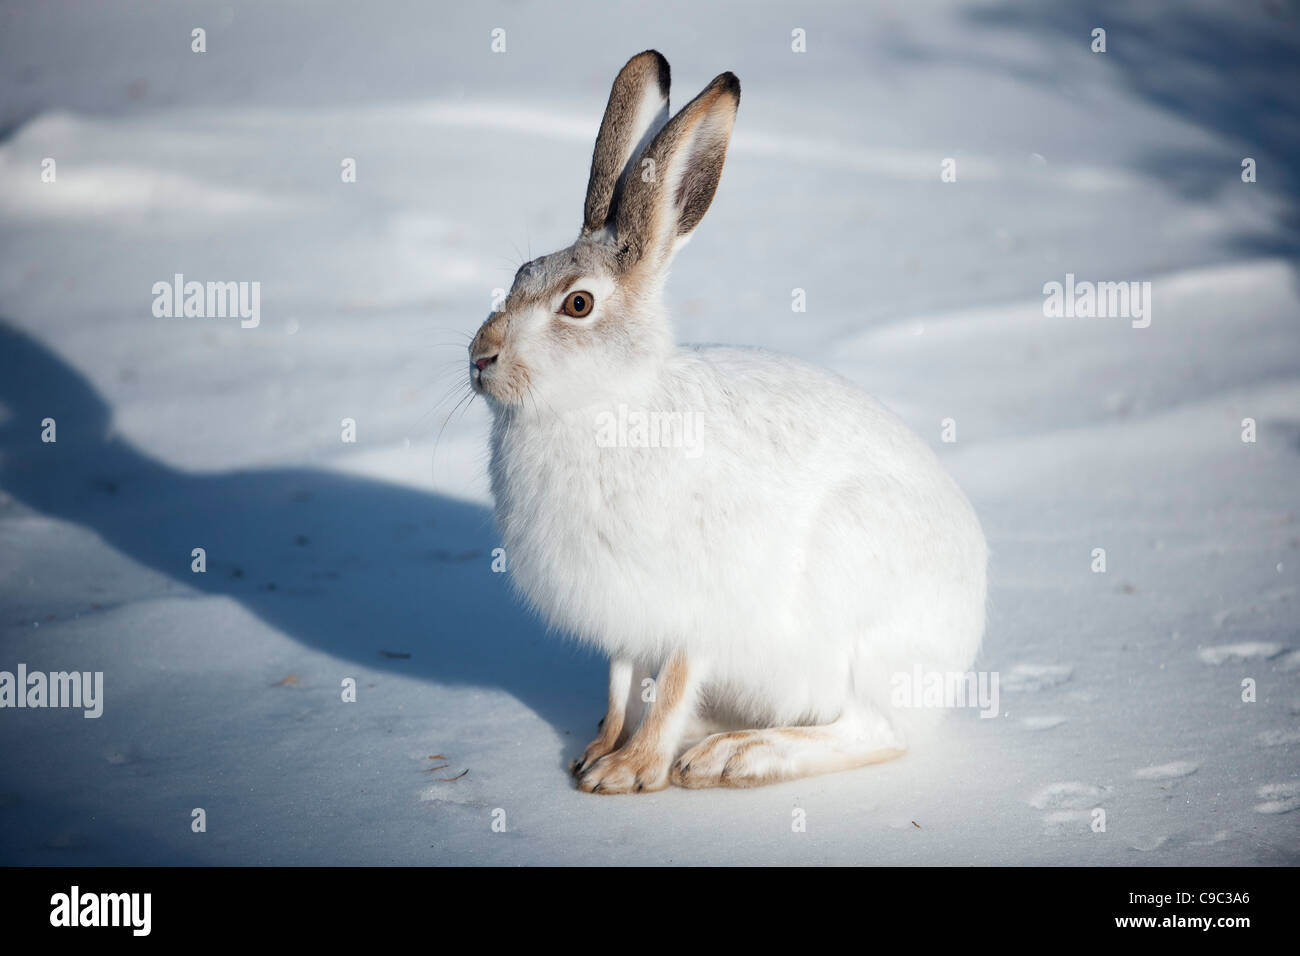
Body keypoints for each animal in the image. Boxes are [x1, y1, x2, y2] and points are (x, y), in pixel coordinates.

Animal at [468, 50, 988, 793]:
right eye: (517, 276)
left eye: (578, 305)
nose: (480, 358)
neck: (603, 406)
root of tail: (961, 653)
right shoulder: (628, 623)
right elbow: (621, 684)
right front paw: (597, 755)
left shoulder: (697, 613)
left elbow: (672, 685)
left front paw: (632, 772)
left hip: (856, 618)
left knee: (873, 731)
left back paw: (738, 755)